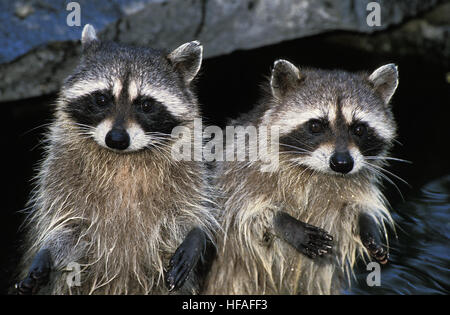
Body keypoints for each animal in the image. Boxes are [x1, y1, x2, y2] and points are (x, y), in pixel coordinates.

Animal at [14, 25, 218, 296]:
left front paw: (196, 232)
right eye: (101, 99)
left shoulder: (189, 168)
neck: (123, 161)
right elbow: (67, 225)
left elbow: (189, 209)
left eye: (146, 105)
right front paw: (47, 251)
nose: (117, 139)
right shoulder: (59, 168)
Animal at [204, 59, 398, 296]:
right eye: (315, 125)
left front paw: (366, 224)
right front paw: (280, 221)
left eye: (359, 129)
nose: (342, 163)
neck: (316, 172)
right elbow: (240, 212)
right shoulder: (238, 168)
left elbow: (354, 209)